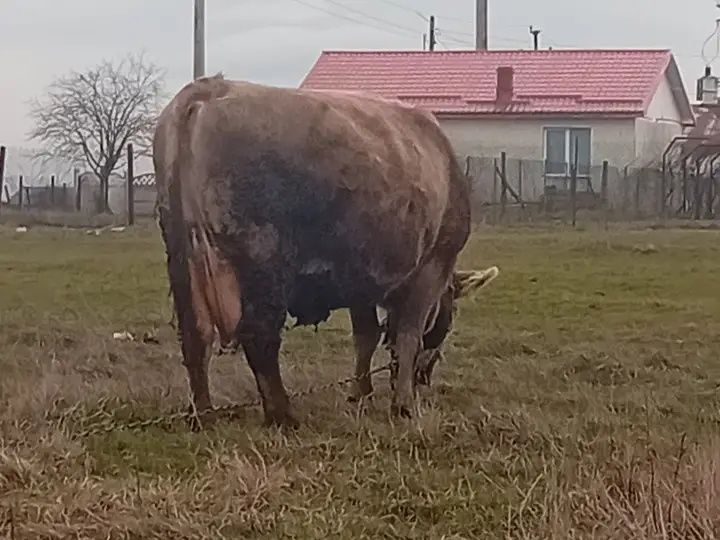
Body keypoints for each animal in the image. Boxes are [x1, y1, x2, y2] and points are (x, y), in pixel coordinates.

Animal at [153, 74, 479, 427]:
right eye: (450, 318)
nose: (424, 380)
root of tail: (209, 90)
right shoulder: (431, 267)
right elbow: (407, 336)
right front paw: (403, 405)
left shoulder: (360, 278)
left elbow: (365, 336)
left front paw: (360, 393)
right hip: (262, 259)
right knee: (259, 336)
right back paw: (282, 414)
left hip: (181, 258)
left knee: (195, 335)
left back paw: (203, 413)